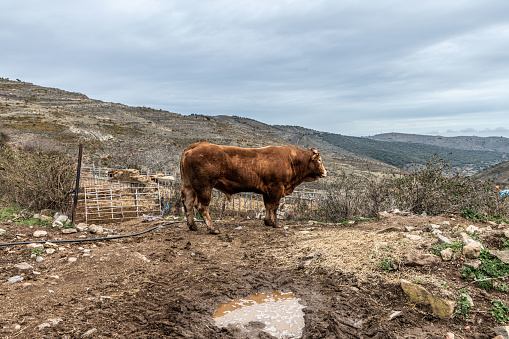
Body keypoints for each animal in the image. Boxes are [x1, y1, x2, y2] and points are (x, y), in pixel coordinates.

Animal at [181, 142, 328, 235]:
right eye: (319, 160)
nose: (325, 172)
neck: (291, 160)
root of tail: (197, 145)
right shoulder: (276, 188)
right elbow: (274, 207)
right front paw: (276, 223)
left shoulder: (267, 191)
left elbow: (268, 206)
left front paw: (268, 221)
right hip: (204, 187)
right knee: (202, 207)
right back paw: (213, 228)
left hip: (188, 185)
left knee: (188, 204)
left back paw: (192, 226)